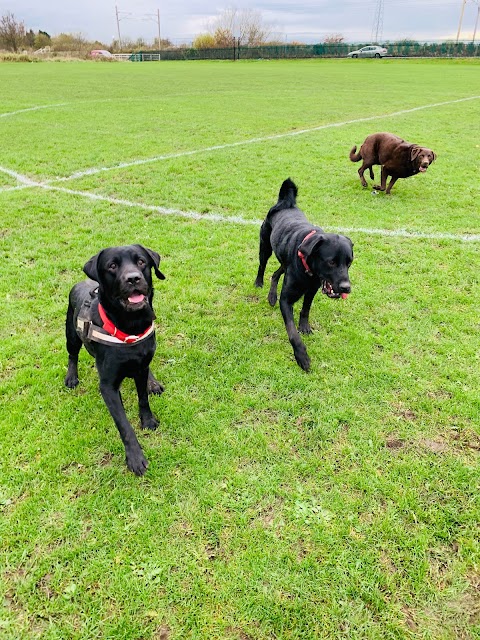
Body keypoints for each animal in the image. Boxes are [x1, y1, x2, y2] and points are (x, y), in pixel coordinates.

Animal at [64, 245, 165, 476]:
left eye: (141, 262)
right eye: (112, 266)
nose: (133, 278)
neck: (131, 327)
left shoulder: (140, 367)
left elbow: (143, 399)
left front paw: (147, 420)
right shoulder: (108, 386)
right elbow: (124, 425)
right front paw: (135, 458)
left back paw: (153, 382)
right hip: (71, 334)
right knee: (73, 355)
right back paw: (71, 377)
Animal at [255, 179, 352, 370]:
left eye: (349, 262)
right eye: (331, 262)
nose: (346, 288)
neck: (310, 272)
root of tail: (286, 204)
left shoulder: (311, 290)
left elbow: (306, 309)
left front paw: (304, 326)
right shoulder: (286, 300)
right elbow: (292, 332)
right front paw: (301, 356)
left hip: (284, 261)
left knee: (276, 273)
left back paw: (271, 296)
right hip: (265, 247)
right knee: (262, 266)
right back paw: (259, 283)